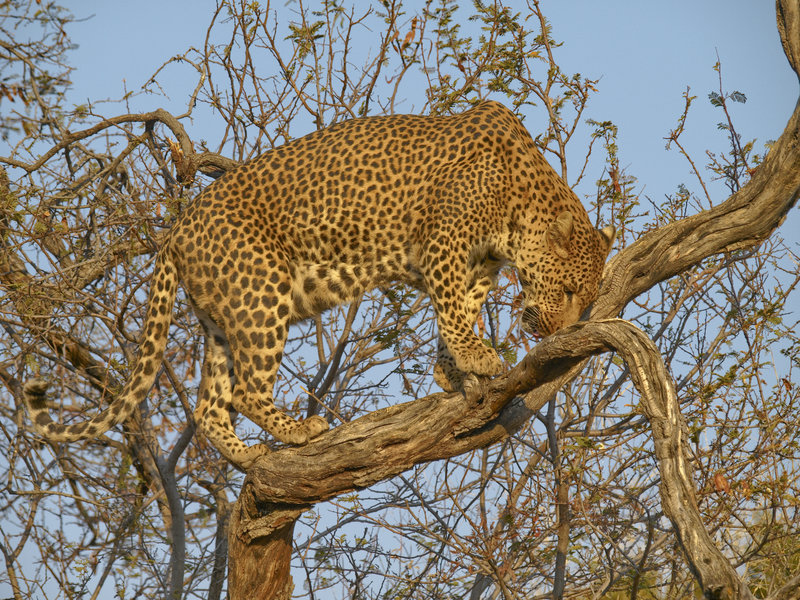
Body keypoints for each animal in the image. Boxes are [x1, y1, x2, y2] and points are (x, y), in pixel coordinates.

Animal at [24, 100, 615, 470]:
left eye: (584, 301)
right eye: (567, 292)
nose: (558, 331)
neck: (521, 208)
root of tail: (175, 230)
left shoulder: (479, 265)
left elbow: (463, 309)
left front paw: (453, 369)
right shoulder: (445, 242)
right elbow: (450, 308)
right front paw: (476, 358)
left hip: (221, 319)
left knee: (210, 403)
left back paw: (248, 454)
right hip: (262, 292)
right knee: (246, 388)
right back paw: (298, 431)